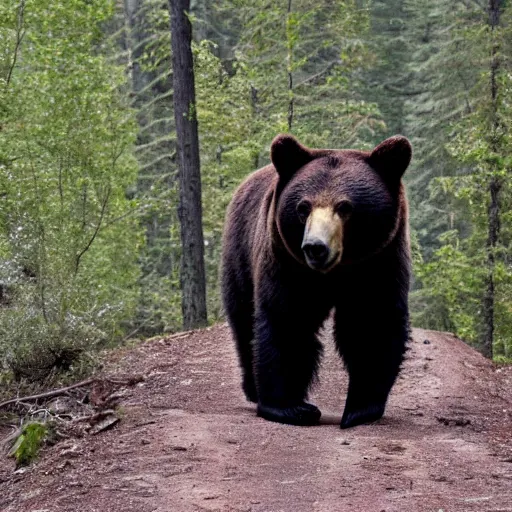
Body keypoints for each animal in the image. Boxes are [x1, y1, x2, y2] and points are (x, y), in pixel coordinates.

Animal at [221, 134, 412, 430]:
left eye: (345, 207)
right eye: (303, 207)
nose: (315, 247)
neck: (335, 273)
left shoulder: (378, 263)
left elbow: (372, 323)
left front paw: (359, 409)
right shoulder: (287, 263)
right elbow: (287, 320)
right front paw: (291, 407)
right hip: (240, 253)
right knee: (243, 319)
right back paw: (253, 389)